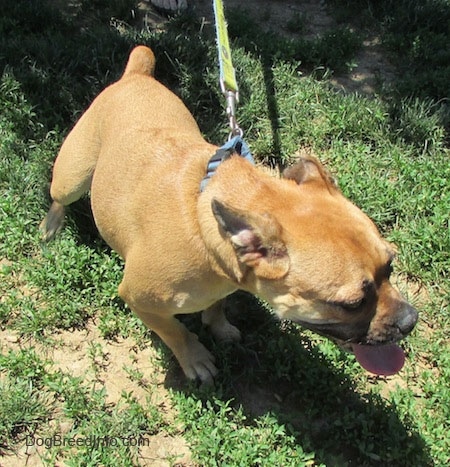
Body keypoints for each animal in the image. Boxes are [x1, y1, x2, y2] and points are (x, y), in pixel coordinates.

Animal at [42, 45, 418, 386]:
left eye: (390, 266)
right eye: (352, 303)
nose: (410, 320)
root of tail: (136, 76)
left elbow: (217, 305)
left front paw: (218, 325)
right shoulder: (139, 299)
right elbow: (174, 330)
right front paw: (194, 357)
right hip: (73, 176)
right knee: (60, 196)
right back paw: (52, 225)